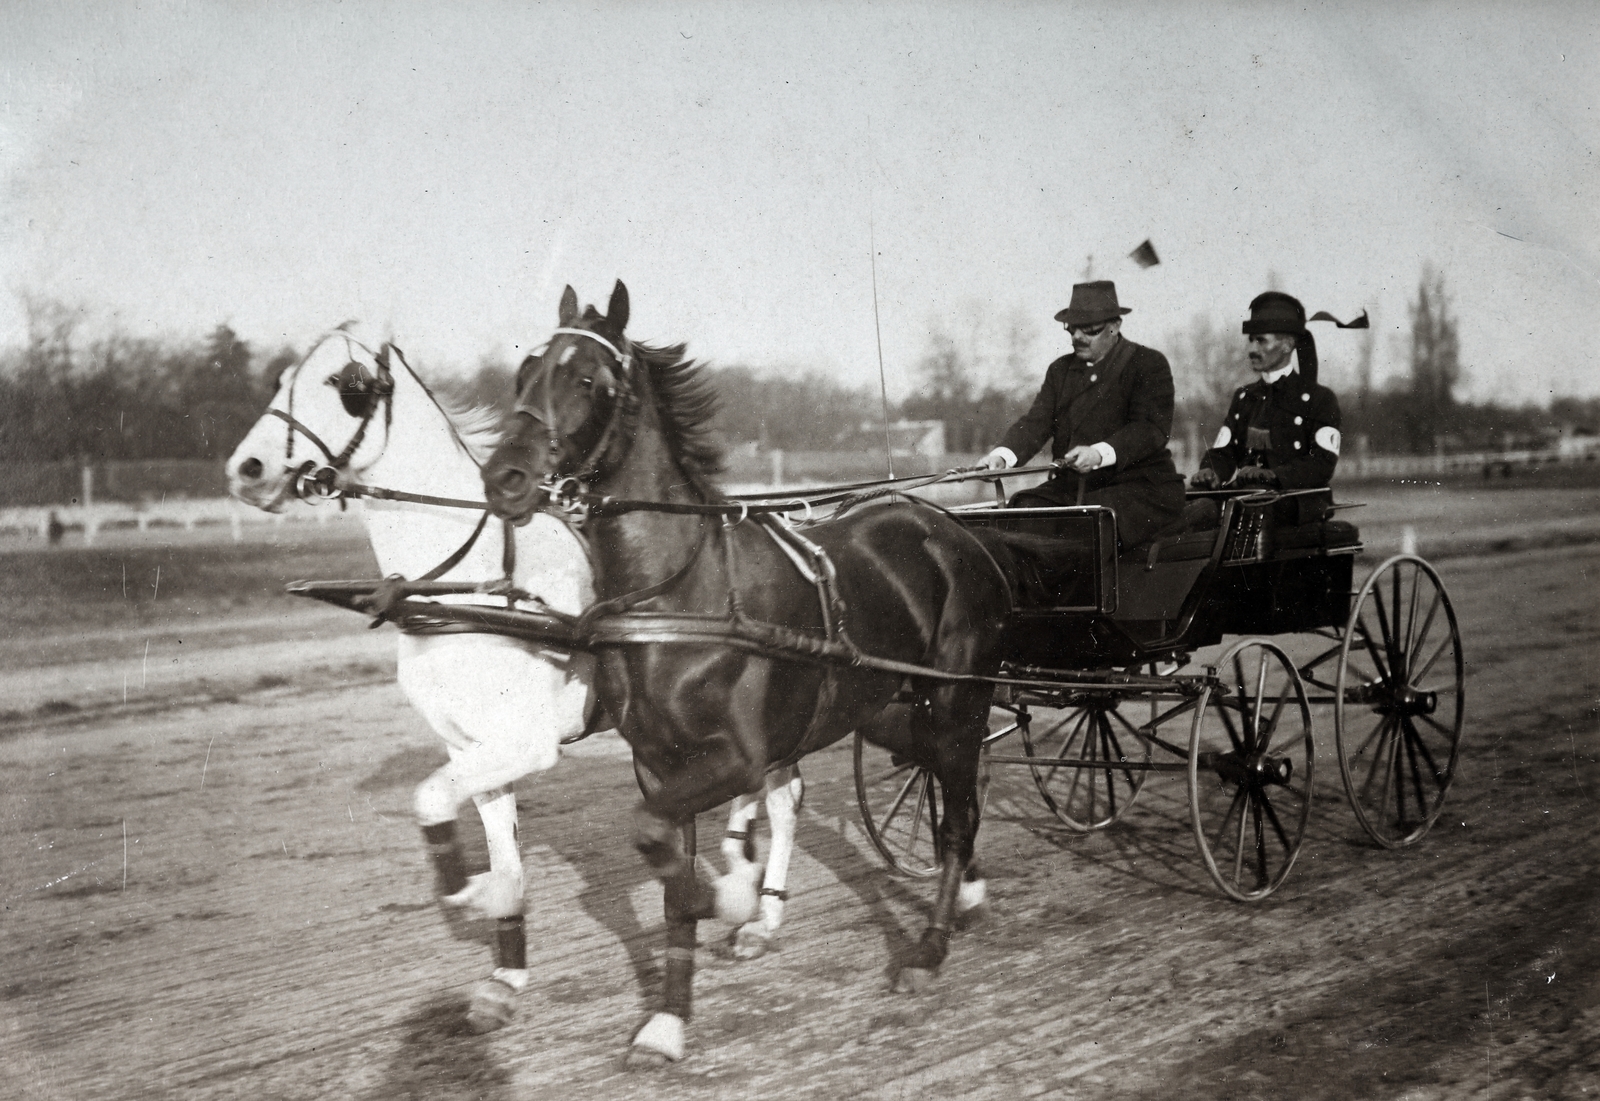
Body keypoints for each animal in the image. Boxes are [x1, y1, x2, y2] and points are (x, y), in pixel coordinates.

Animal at [222, 326, 796, 1030]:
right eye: (279, 379)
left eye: (345, 383)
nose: (247, 469)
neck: (477, 585)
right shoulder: (469, 746)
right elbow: (500, 852)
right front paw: (505, 972)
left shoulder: (526, 744)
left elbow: (431, 800)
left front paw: (468, 894)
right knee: (759, 785)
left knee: (784, 797)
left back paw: (762, 915)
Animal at [486, 283, 1011, 1068]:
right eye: (523, 373)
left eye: (585, 379)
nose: (505, 478)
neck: (681, 595)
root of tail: (953, 530)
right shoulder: (659, 760)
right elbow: (665, 863)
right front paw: (668, 1019)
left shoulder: (738, 755)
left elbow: (662, 837)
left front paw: (732, 896)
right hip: (886, 707)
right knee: (951, 788)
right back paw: (969, 894)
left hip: (953, 699)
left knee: (955, 811)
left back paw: (929, 947)